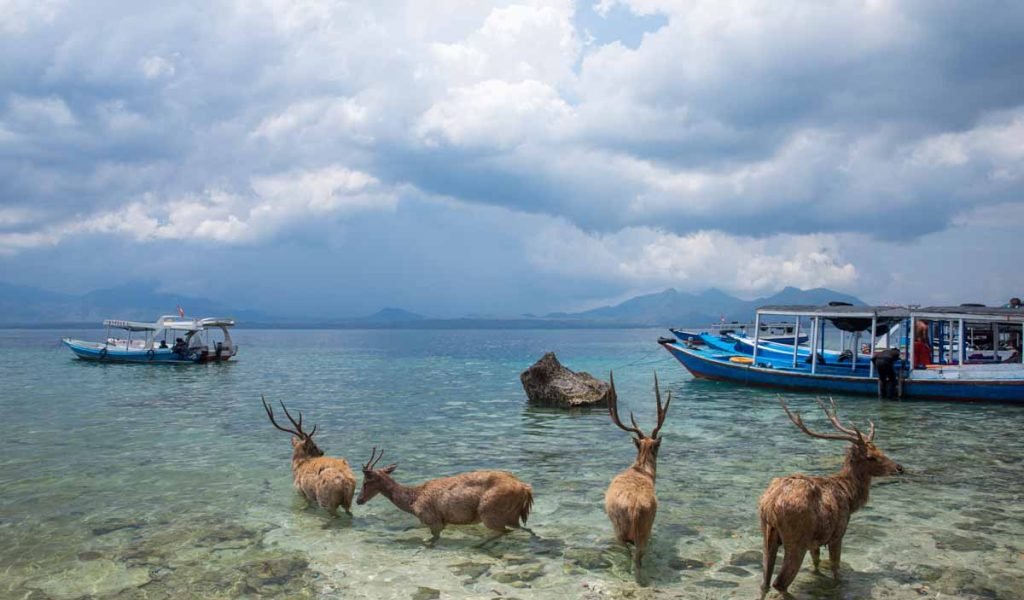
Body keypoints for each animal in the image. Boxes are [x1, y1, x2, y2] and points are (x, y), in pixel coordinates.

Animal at [358, 444, 536, 540]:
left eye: (366, 482)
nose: (359, 500)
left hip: (490, 511)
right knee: (526, 529)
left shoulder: (432, 518)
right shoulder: (439, 522)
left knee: (505, 531)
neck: (412, 502)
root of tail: (526, 488)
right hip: (512, 515)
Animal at [761, 395, 905, 593]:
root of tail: (770, 505)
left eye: (879, 449)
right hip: (797, 538)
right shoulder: (838, 533)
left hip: (767, 534)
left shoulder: (815, 542)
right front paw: (838, 585)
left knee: (765, 582)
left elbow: (816, 562)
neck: (850, 497)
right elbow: (835, 567)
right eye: (870, 456)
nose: (899, 468)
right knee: (779, 582)